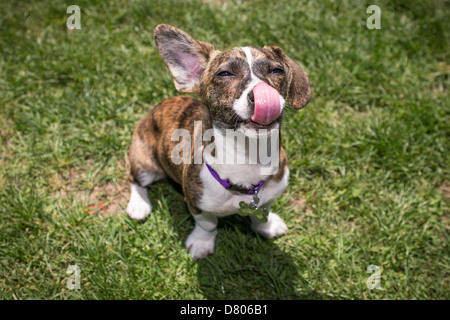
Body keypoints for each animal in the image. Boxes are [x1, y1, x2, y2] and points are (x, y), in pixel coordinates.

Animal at [125, 24, 312, 260]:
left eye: (277, 71)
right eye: (224, 73)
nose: (260, 96)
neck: (247, 157)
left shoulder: (269, 194)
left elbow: (262, 212)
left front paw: (267, 226)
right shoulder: (196, 204)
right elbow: (207, 224)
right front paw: (201, 243)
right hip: (146, 164)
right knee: (134, 178)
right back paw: (139, 205)